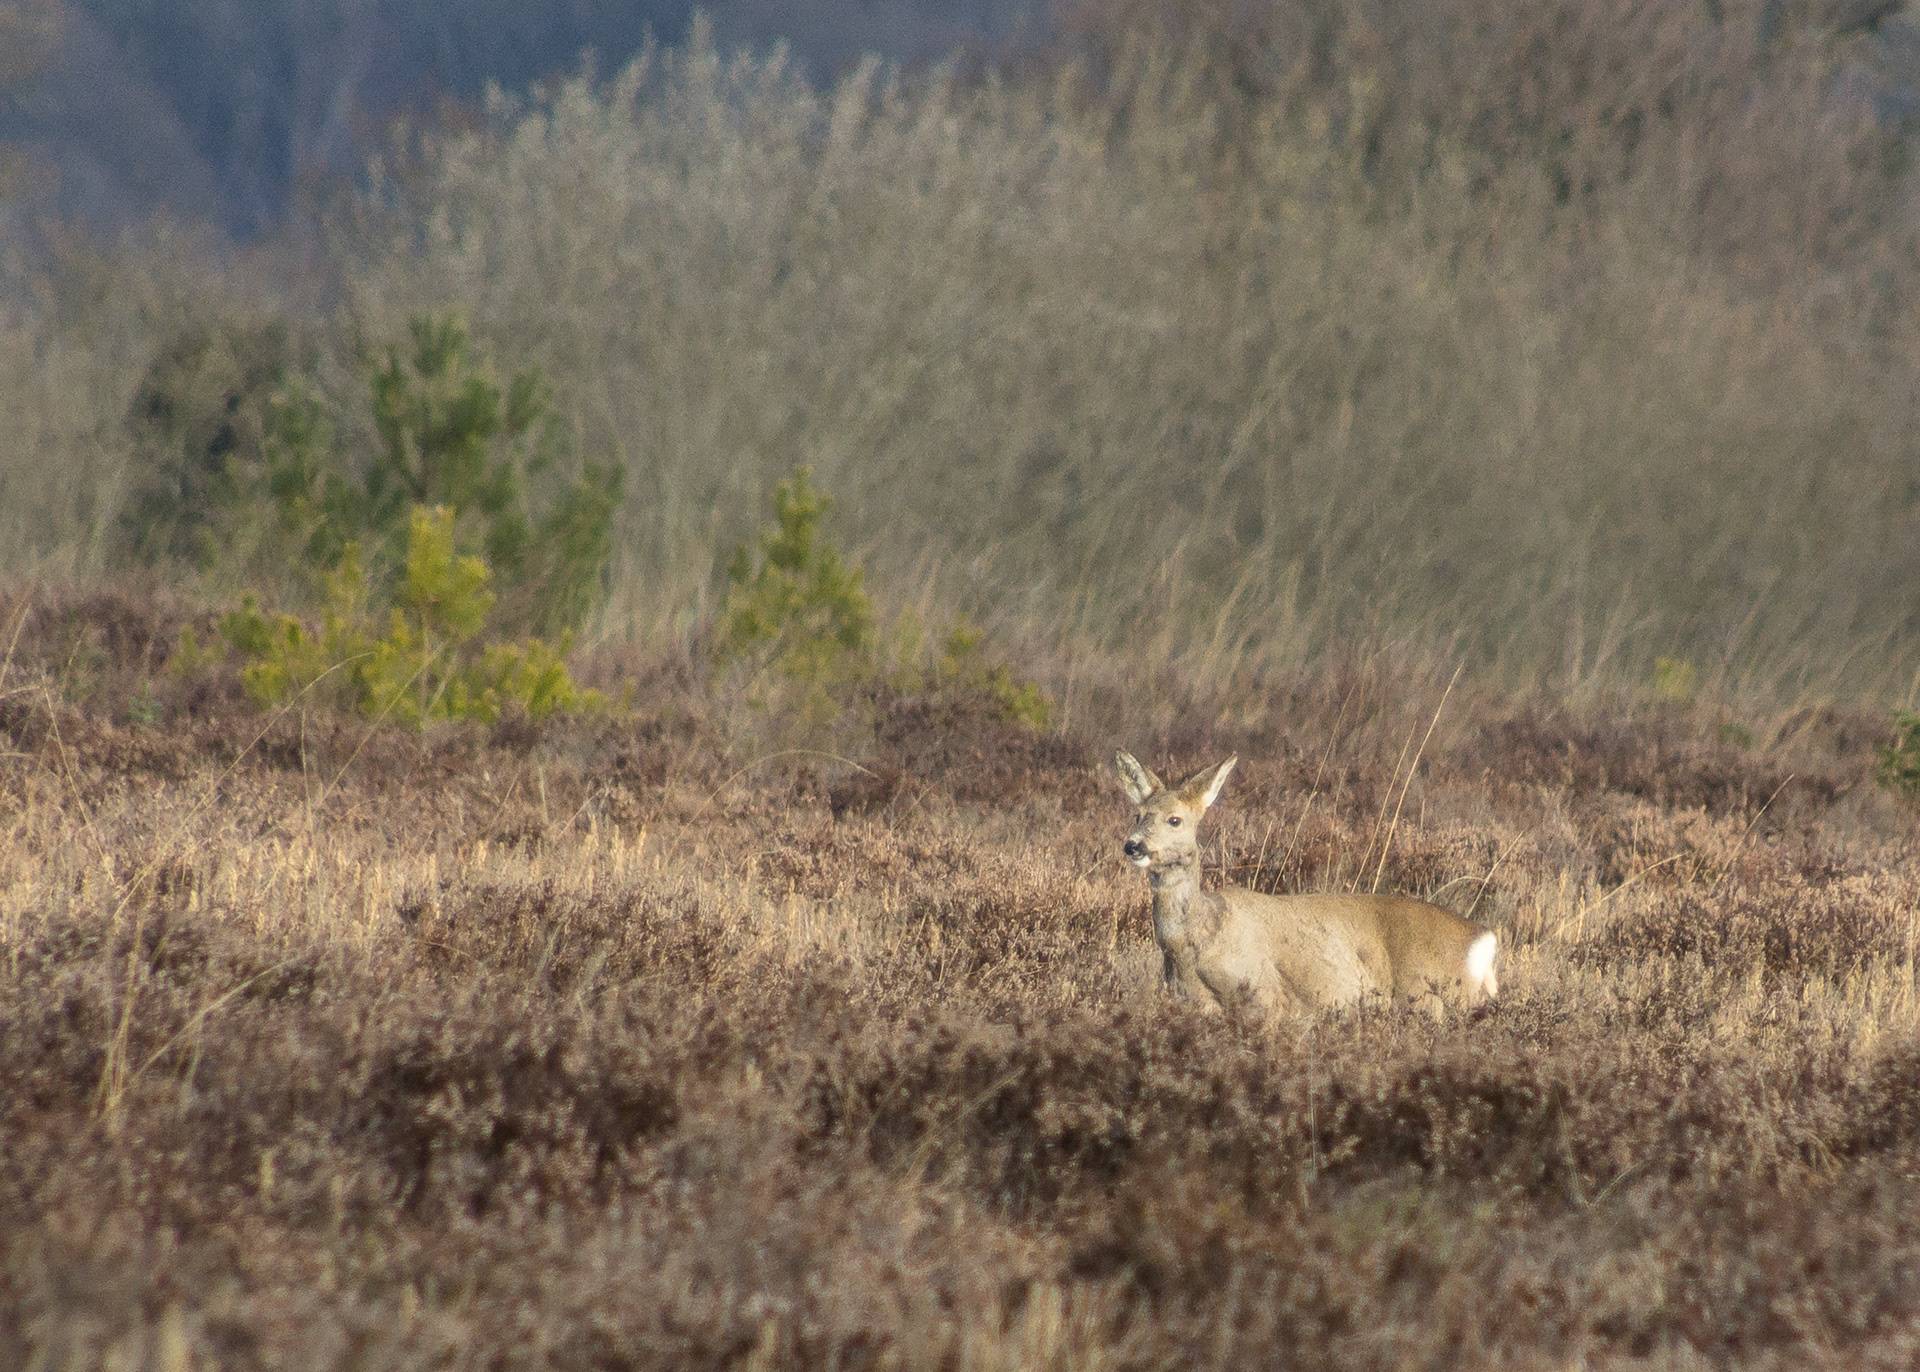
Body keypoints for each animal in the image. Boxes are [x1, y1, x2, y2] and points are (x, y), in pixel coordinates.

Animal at [1116, 751, 1497, 1018]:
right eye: (1137, 815)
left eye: (1175, 820)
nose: (1133, 845)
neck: (1195, 941)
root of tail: (1484, 939)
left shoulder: (1266, 997)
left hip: (1430, 996)